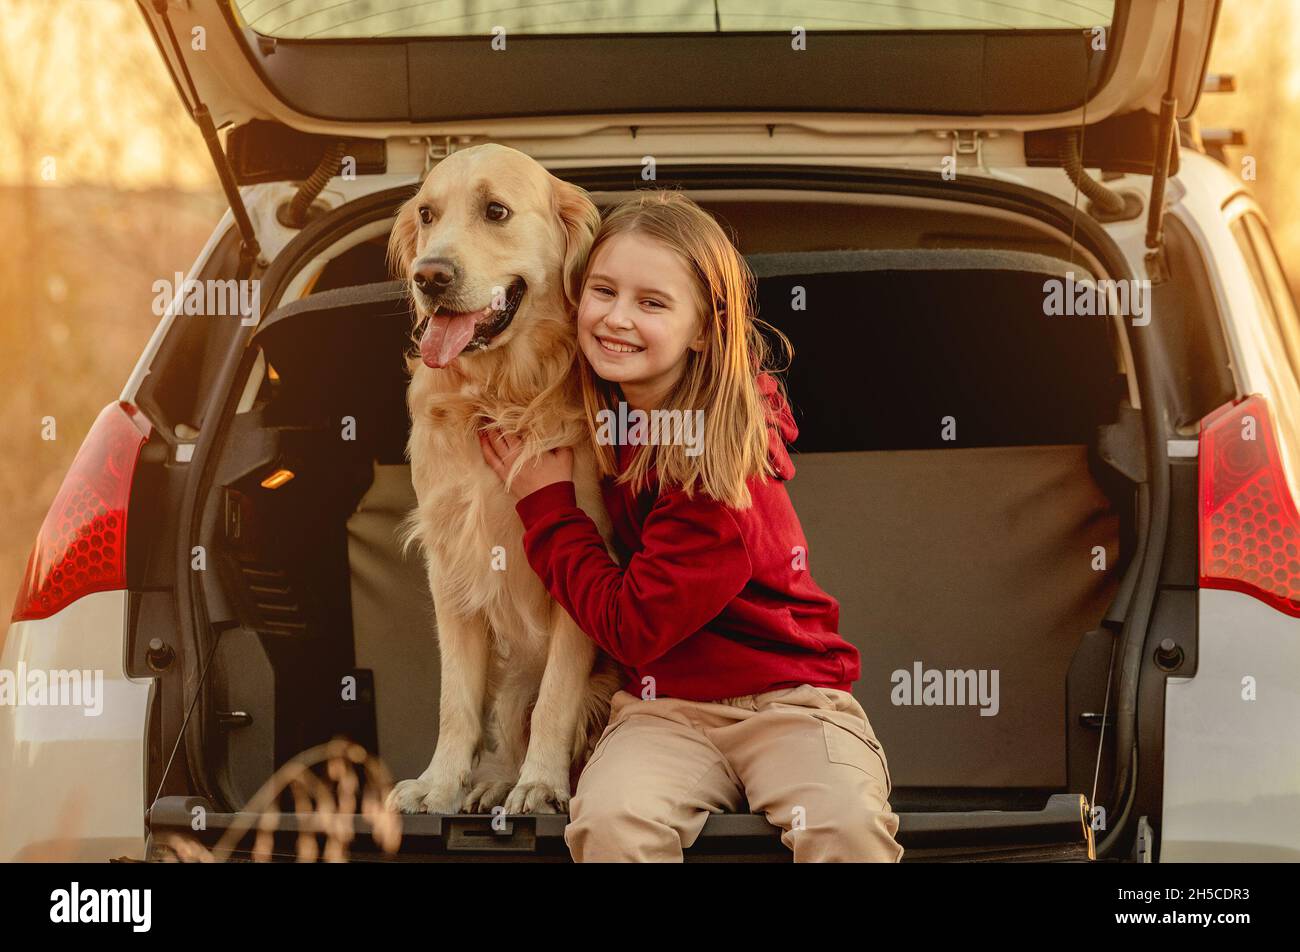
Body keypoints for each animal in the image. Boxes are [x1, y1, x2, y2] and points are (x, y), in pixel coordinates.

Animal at [382, 145, 621, 816]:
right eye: (428, 214)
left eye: (496, 211)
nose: (429, 276)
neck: (499, 394)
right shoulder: (451, 561)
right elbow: (456, 701)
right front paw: (439, 784)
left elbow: (558, 699)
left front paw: (540, 784)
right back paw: (492, 779)